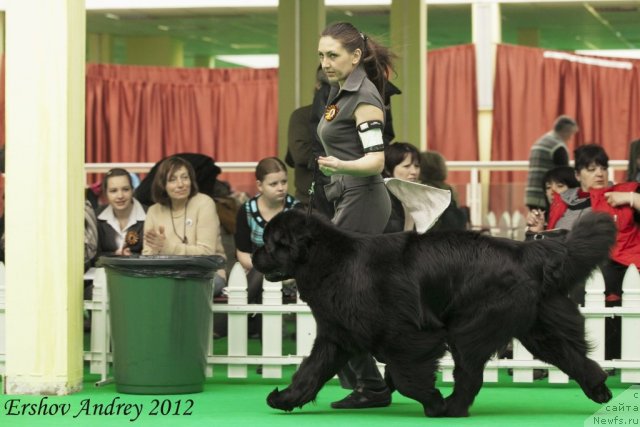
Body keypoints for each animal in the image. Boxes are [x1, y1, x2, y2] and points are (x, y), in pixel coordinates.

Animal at [252, 211, 616, 418]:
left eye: (270, 243)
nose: (254, 254)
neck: (329, 261)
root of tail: (528, 252)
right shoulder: (337, 336)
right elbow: (310, 372)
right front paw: (284, 398)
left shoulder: (408, 336)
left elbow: (405, 377)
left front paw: (433, 401)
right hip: (537, 327)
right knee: (572, 356)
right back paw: (599, 389)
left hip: (471, 327)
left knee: (470, 374)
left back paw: (451, 409)